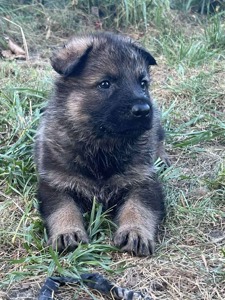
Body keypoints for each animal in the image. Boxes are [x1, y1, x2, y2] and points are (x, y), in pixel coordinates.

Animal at [34, 33, 169, 258]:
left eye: (143, 83)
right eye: (105, 84)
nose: (143, 109)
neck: (102, 145)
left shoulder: (143, 181)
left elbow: (138, 208)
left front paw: (135, 232)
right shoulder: (55, 183)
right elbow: (63, 208)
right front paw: (67, 232)